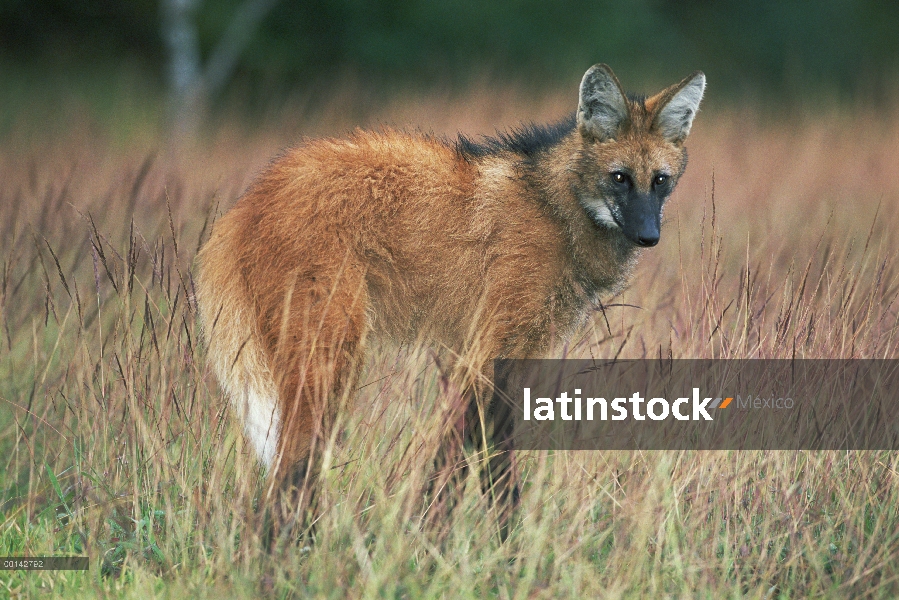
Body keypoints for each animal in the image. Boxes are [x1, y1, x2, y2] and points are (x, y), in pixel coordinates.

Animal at [197, 64, 712, 516]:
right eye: (620, 178)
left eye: (659, 181)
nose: (648, 236)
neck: (558, 210)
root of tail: (249, 202)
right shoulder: (486, 352)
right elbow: (465, 466)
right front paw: (433, 540)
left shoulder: (503, 356)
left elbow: (482, 464)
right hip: (329, 356)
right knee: (288, 478)